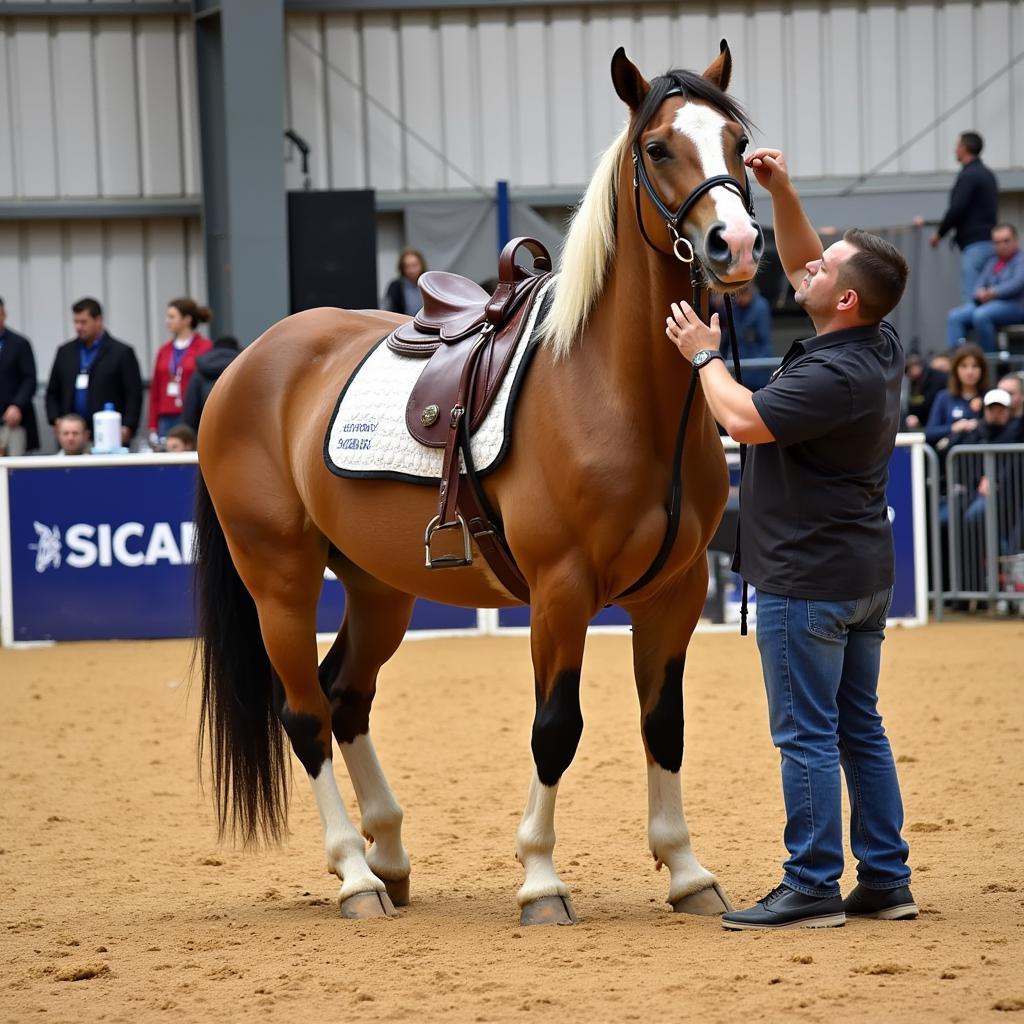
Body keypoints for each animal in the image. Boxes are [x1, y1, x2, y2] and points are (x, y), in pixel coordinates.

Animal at [195, 44, 765, 929]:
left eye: (738, 141)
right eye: (660, 147)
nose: (733, 243)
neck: (615, 390)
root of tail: (247, 363)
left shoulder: (675, 592)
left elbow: (662, 725)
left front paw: (686, 871)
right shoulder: (561, 591)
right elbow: (555, 728)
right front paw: (540, 881)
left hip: (380, 588)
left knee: (345, 695)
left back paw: (389, 859)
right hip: (279, 580)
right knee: (306, 714)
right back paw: (355, 876)